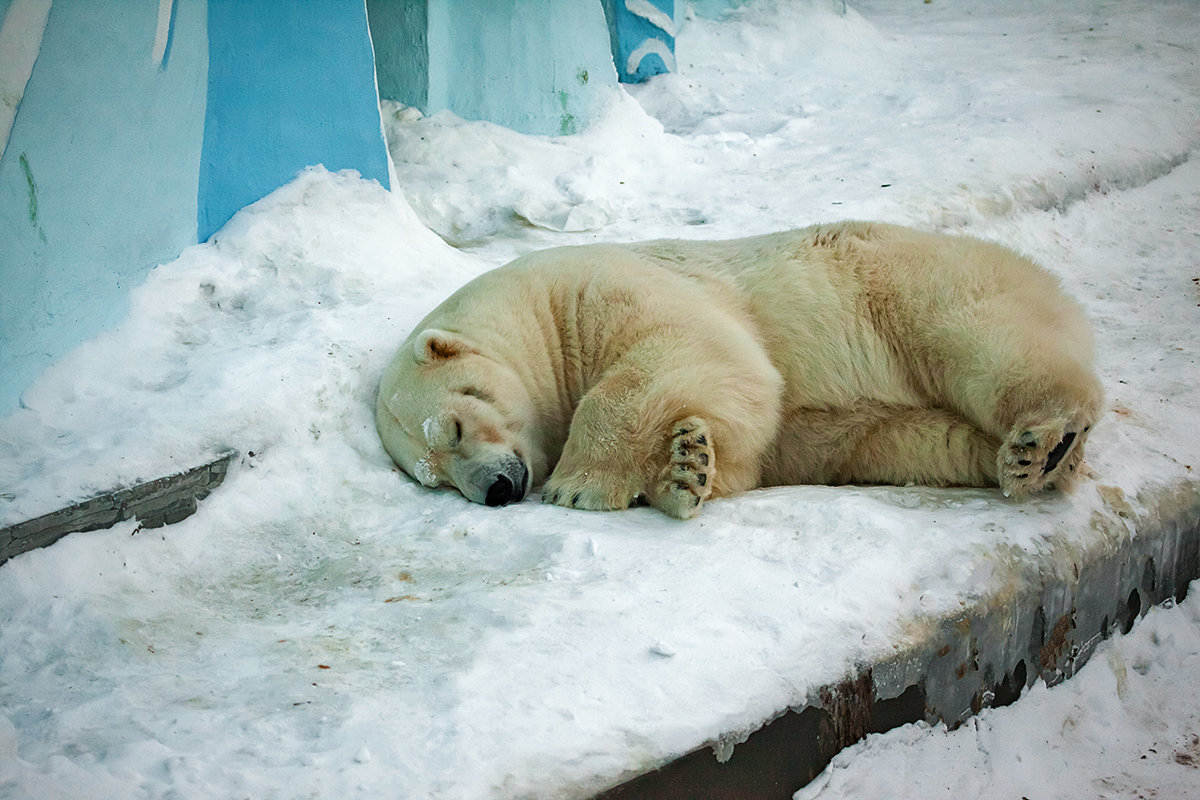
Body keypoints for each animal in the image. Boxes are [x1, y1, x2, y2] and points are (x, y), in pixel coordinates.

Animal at [374, 221, 1099, 520]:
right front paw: (685, 467)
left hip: (901, 281)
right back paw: (1028, 462)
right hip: (887, 431)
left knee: (982, 332)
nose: (497, 489)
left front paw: (580, 485)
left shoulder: (591, 288)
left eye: (455, 425)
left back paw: (1044, 438)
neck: (534, 310)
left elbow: (694, 348)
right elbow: (742, 444)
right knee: (921, 440)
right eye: (435, 476)